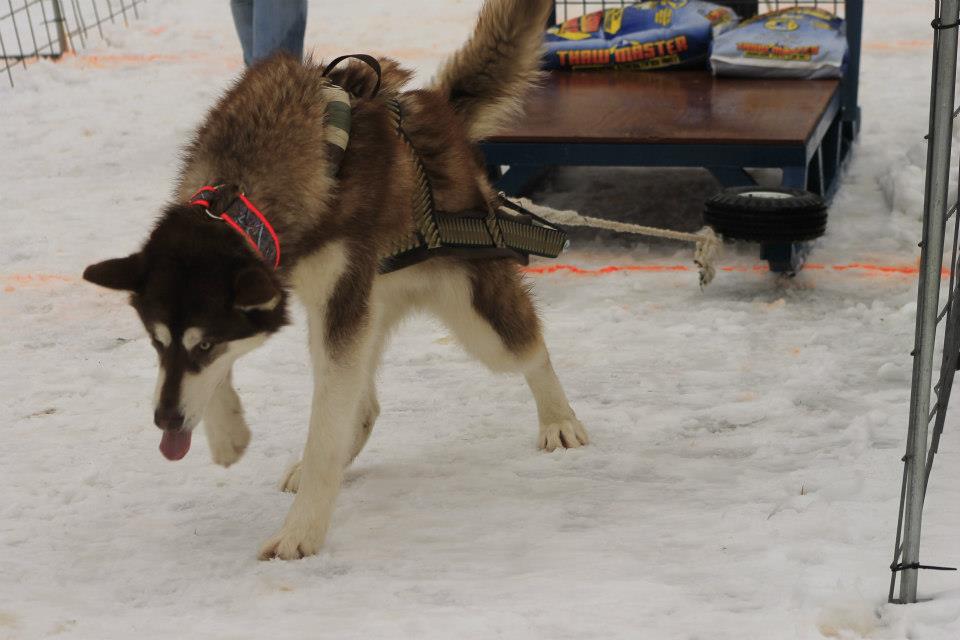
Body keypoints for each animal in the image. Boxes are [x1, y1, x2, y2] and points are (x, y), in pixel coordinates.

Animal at [82, 0, 588, 560]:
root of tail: (438, 115)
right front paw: (227, 431)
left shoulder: (333, 305)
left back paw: (558, 418)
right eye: (155, 344)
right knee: (362, 406)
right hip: (361, 309)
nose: (166, 421)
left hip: (470, 315)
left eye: (205, 343)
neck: (238, 191)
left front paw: (301, 531)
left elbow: (323, 429)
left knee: (529, 349)